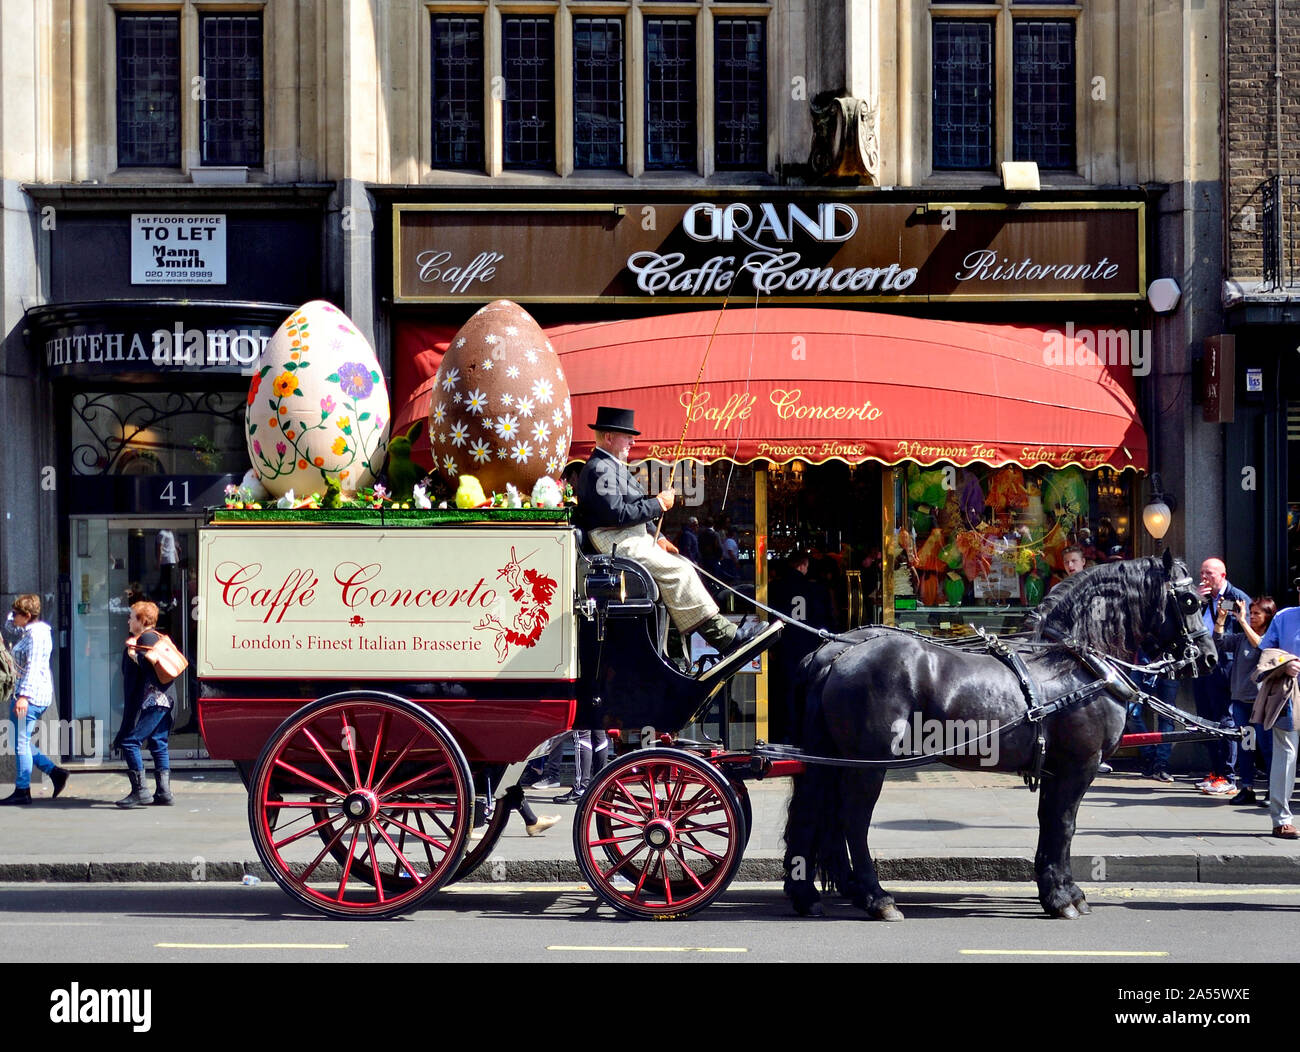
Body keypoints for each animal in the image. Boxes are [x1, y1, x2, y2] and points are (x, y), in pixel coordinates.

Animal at [780, 548, 1216, 920]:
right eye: (1191, 601)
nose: (1207, 656)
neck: (1074, 662)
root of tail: (834, 653)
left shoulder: (1056, 768)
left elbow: (1048, 822)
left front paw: (1055, 890)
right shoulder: (1080, 765)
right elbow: (1065, 824)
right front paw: (1065, 896)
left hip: (832, 757)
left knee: (821, 814)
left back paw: (813, 894)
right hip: (867, 762)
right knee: (853, 819)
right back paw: (876, 897)